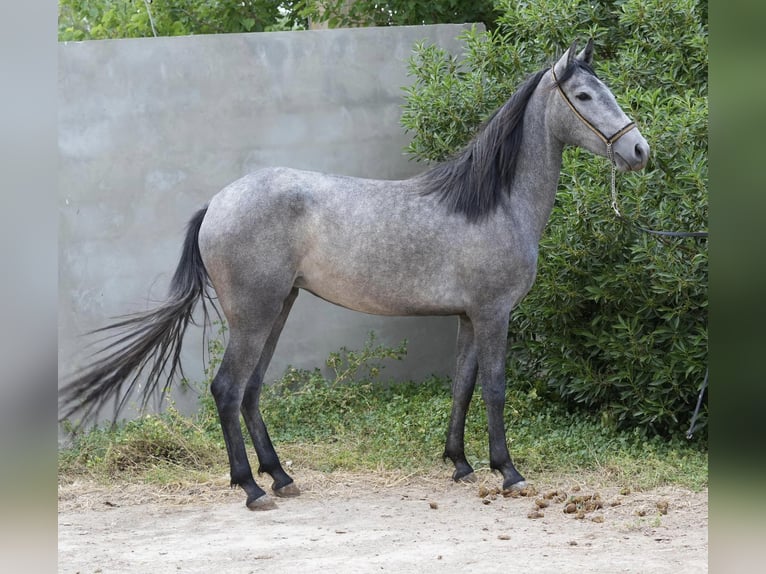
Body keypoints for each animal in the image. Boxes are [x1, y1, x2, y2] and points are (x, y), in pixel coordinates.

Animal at [59, 39, 649, 510]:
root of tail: (217, 204)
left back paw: (281, 477)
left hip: (278, 309)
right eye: (586, 96)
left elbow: (462, 385)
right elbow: (496, 388)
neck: (494, 204)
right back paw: (251, 488)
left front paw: (459, 463)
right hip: (254, 315)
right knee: (228, 388)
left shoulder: (467, 316)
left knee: (250, 390)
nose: (639, 150)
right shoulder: (492, 313)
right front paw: (508, 471)